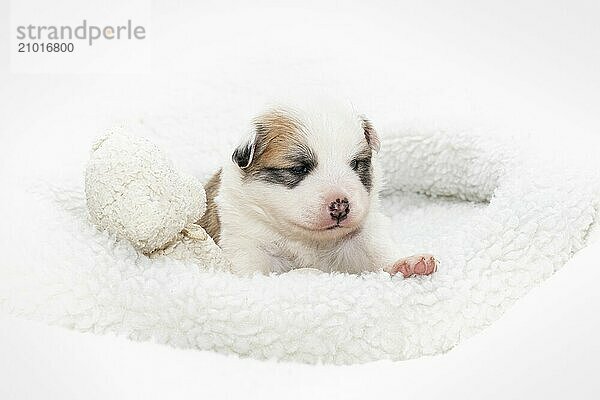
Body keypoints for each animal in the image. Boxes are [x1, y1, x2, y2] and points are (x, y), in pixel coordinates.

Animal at [199, 102, 438, 278]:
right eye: (299, 168)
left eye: (355, 164)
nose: (341, 205)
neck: (309, 240)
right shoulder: (247, 245)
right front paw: (310, 272)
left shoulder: (364, 234)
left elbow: (379, 251)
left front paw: (408, 264)